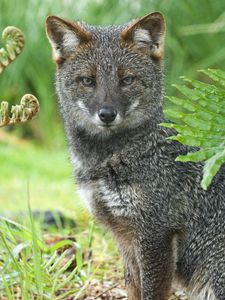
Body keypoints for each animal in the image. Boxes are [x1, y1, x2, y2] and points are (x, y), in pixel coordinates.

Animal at [45, 12, 225, 300]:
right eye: (88, 81)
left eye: (127, 80)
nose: (107, 114)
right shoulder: (124, 238)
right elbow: (132, 288)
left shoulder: (155, 234)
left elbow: (151, 292)